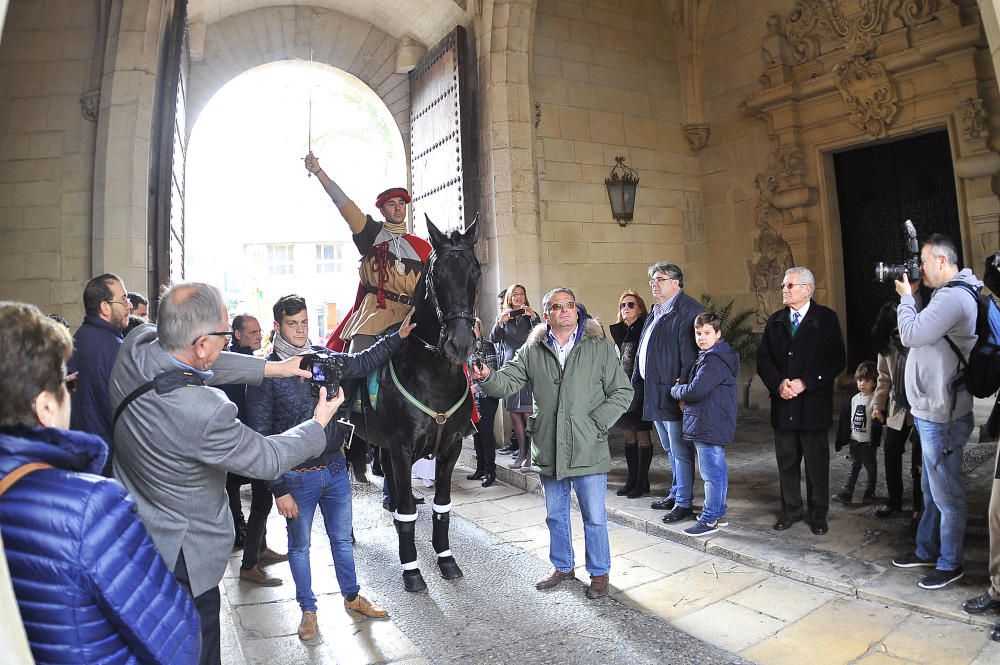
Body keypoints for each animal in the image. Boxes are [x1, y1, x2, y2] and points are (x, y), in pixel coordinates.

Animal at [354, 215, 482, 588]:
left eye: (476, 271)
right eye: (436, 274)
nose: (460, 344)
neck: (433, 372)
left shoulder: (450, 446)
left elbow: (442, 506)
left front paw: (446, 559)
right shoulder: (402, 447)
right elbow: (409, 509)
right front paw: (411, 569)